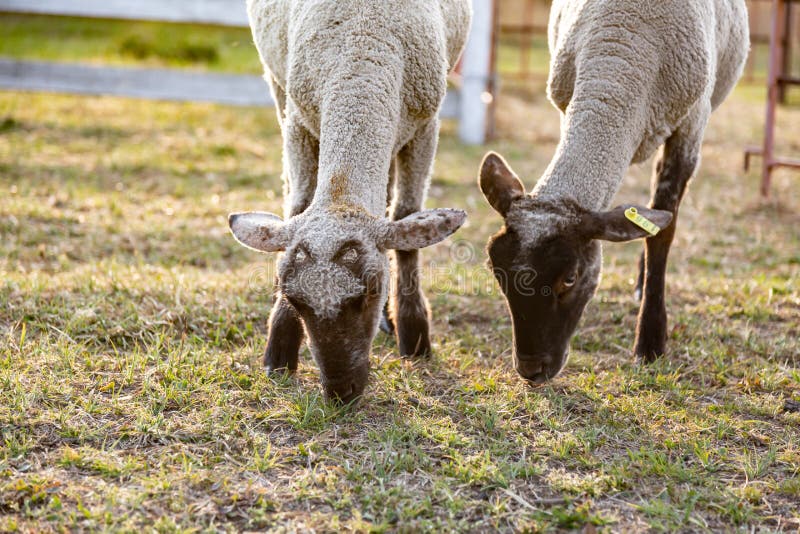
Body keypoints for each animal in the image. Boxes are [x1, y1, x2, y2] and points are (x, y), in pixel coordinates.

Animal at [229, 0, 472, 403]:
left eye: (370, 293)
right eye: (295, 300)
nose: (341, 391)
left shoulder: (426, 125)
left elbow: (407, 216)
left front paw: (414, 332)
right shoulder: (300, 120)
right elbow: (298, 206)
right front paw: (281, 343)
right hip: (278, 84)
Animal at [479, 0, 749, 383]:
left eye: (570, 278)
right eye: (496, 272)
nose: (531, 370)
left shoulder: (691, 125)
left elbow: (662, 233)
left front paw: (650, 343)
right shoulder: (568, 105)